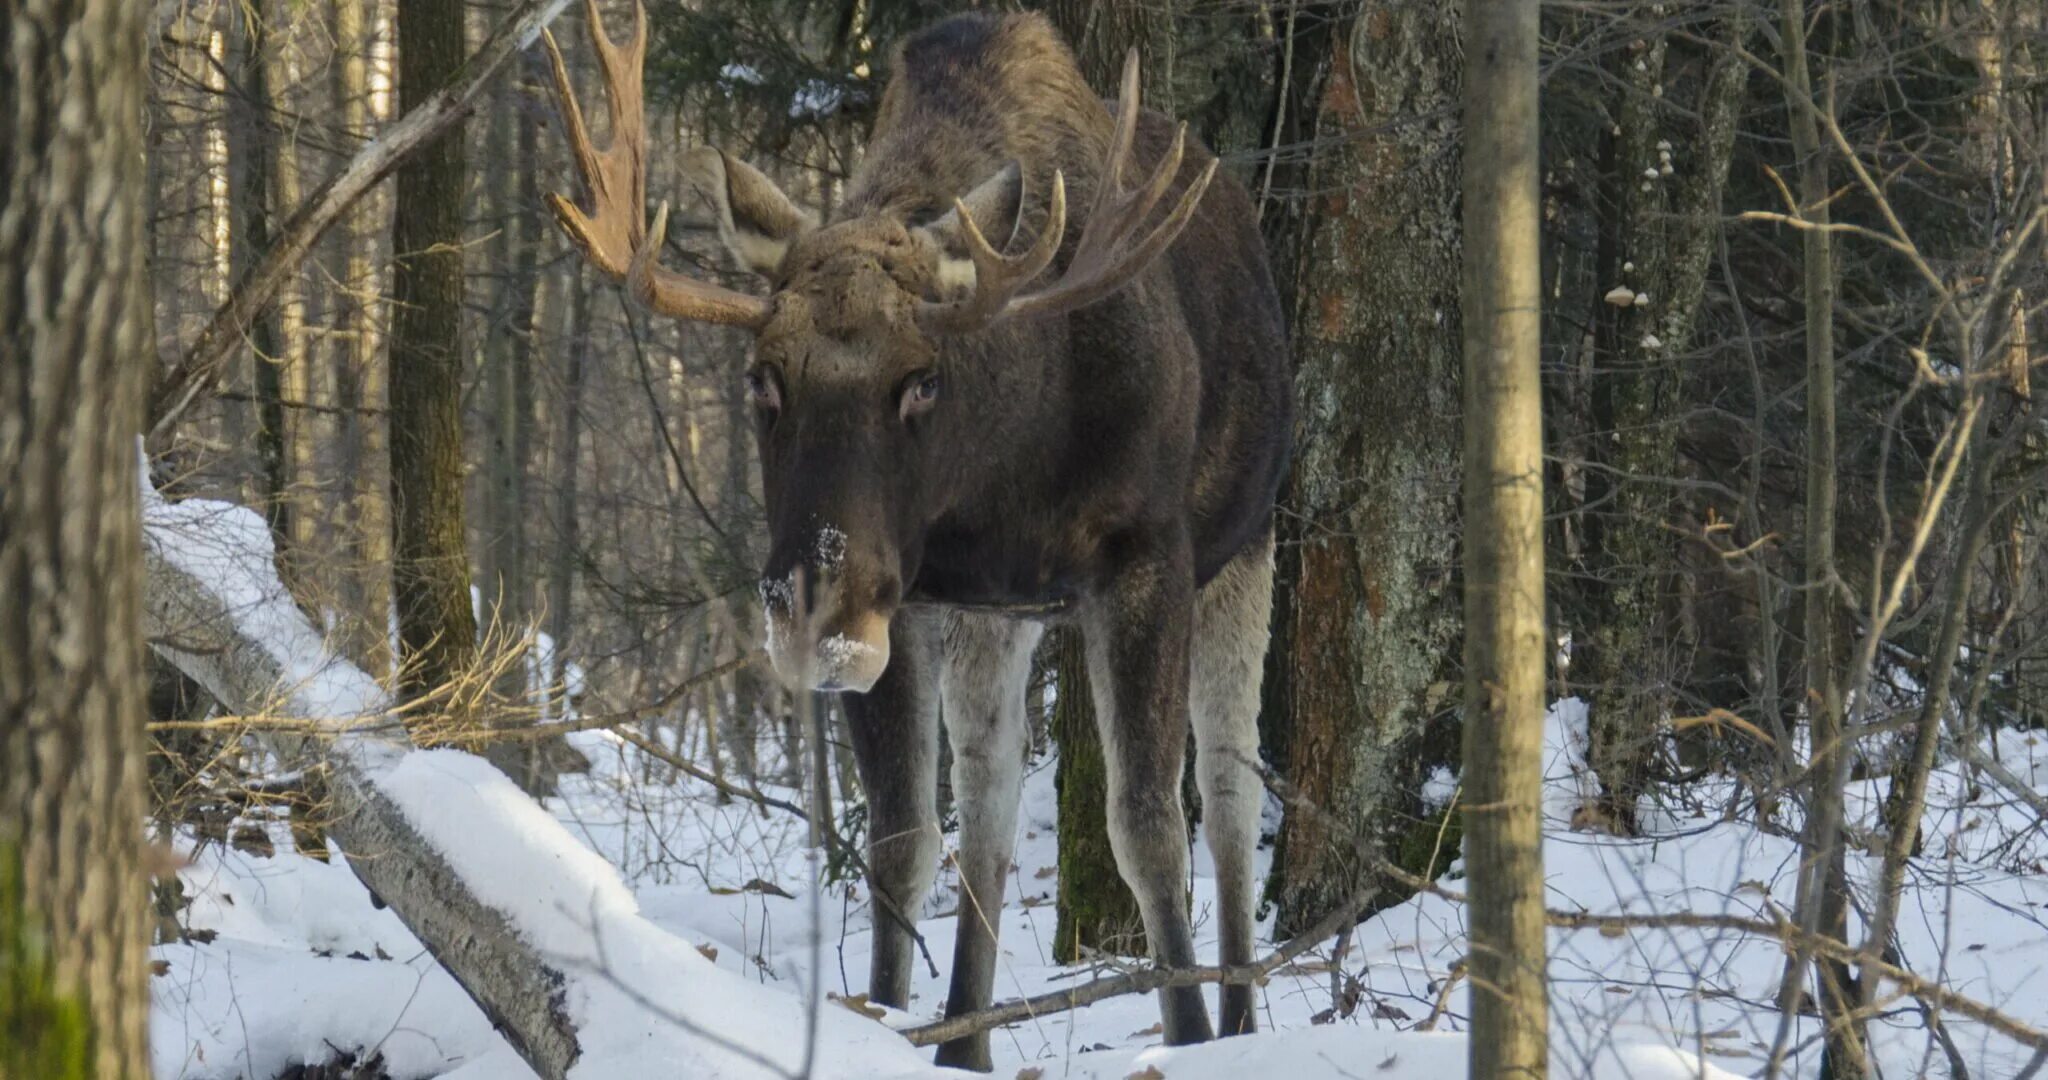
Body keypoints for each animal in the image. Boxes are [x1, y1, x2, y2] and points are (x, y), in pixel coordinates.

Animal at [536, 2, 1286, 1073]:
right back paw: (964, 1037)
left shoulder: (1149, 552)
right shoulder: (929, 593)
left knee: (1229, 792)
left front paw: (1184, 1037)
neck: (1005, 472)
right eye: (762, 376)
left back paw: (1240, 1018)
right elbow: (901, 836)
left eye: (922, 379)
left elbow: (1148, 825)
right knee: (991, 794)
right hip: (996, 615)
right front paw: (889, 1014)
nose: (815, 612)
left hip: (1251, 539)